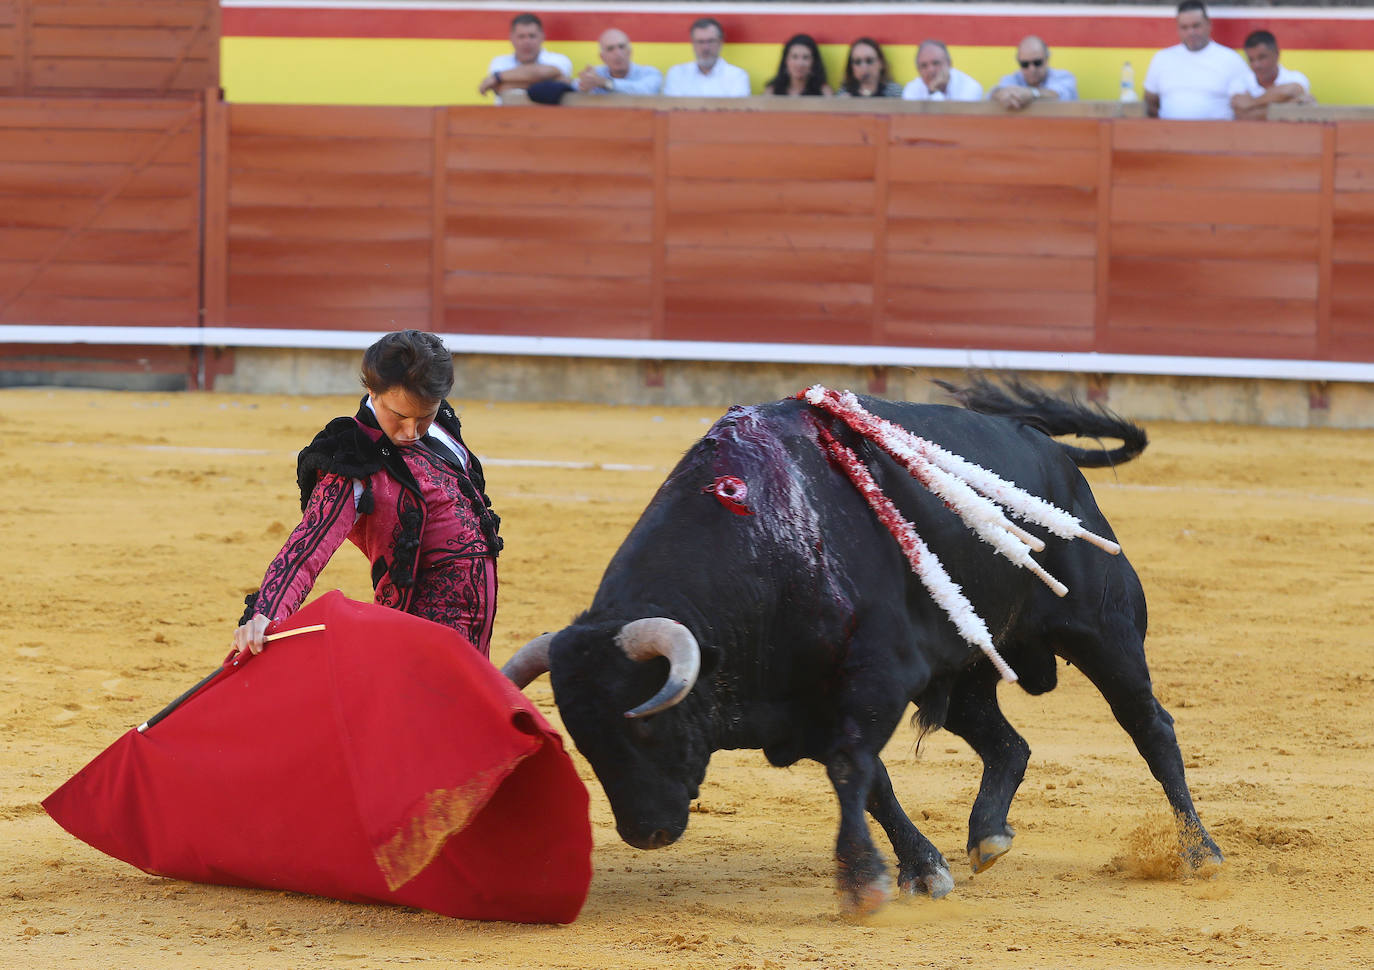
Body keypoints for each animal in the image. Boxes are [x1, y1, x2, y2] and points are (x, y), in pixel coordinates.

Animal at [508, 381, 1225, 912]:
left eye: (648, 727)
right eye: (582, 740)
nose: (645, 834)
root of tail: (1049, 451)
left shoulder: (876, 675)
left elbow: (852, 769)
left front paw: (863, 882)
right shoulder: (818, 700)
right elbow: (871, 779)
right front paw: (922, 868)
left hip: (1105, 631)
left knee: (1150, 725)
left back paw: (1199, 851)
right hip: (966, 669)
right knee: (1008, 744)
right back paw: (988, 837)